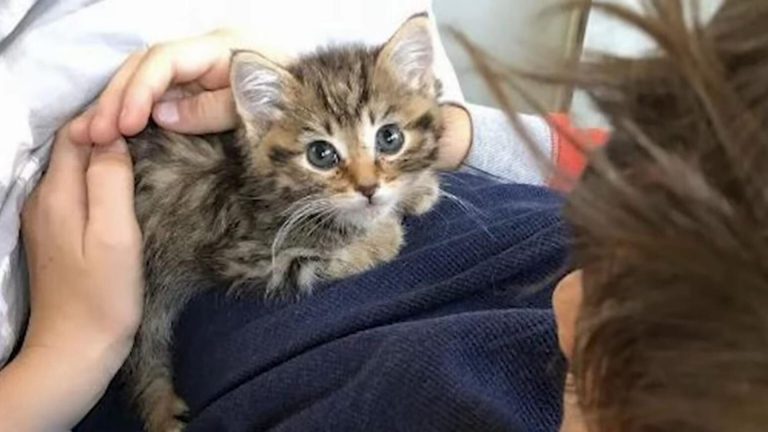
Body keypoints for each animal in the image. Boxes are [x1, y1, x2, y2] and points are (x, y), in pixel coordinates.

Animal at [126, 15, 444, 432]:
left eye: (389, 138)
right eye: (321, 154)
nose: (368, 188)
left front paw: (417, 189)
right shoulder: (253, 256)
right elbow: (332, 254)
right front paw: (383, 234)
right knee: (144, 354)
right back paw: (162, 410)